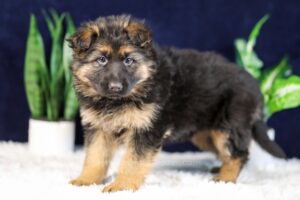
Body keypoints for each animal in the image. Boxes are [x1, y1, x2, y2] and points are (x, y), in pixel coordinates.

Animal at [68, 14, 286, 192]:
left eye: (129, 60)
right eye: (101, 60)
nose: (115, 87)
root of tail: (255, 86)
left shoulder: (146, 129)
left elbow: (132, 160)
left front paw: (122, 185)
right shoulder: (98, 128)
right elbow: (94, 156)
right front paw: (87, 180)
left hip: (229, 126)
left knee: (239, 153)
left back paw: (226, 178)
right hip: (206, 134)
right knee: (229, 152)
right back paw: (221, 168)